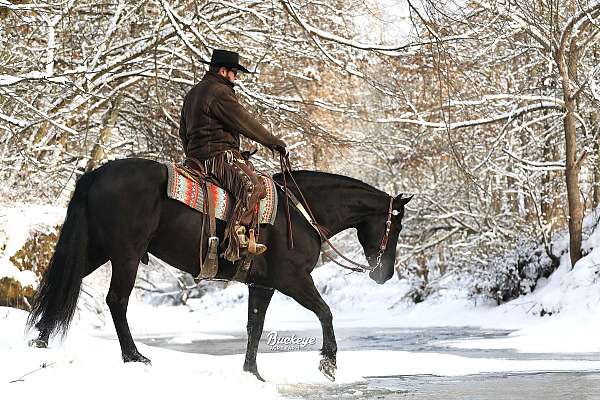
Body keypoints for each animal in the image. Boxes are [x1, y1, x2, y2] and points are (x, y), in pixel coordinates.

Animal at [25, 157, 410, 382]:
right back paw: (134, 356)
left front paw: (252, 374)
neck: (299, 213)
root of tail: (95, 175)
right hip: (125, 255)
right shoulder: (293, 280)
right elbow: (325, 312)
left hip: (95, 250)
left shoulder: (263, 285)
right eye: (397, 226)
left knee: (63, 282)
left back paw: (42, 337)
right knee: (116, 301)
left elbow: (255, 327)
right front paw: (328, 363)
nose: (384, 273)